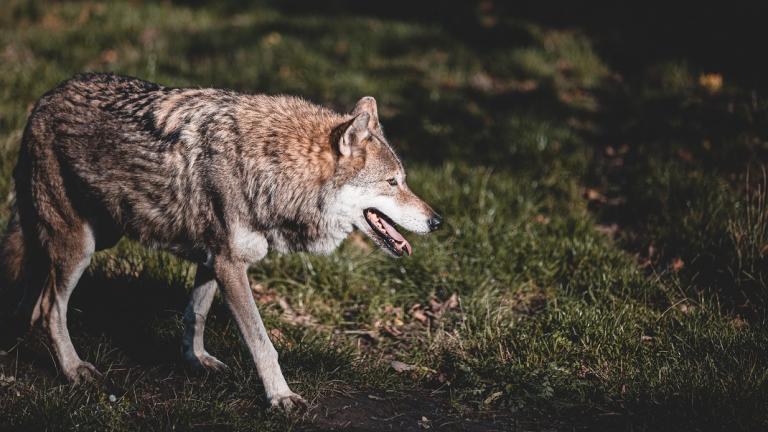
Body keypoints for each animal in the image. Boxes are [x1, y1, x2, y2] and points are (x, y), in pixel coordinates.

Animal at [0, 74, 440, 412]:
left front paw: (196, 361)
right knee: (51, 308)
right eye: (393, 183)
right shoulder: (231, 265)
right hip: (81, 246)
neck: (274, 169)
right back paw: (73, 369)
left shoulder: (213, 260)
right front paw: (280, 398)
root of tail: (43, 99)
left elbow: (195, 315)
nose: (437, 221)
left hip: (95, 237)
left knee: (34, 294)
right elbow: (262, 343)